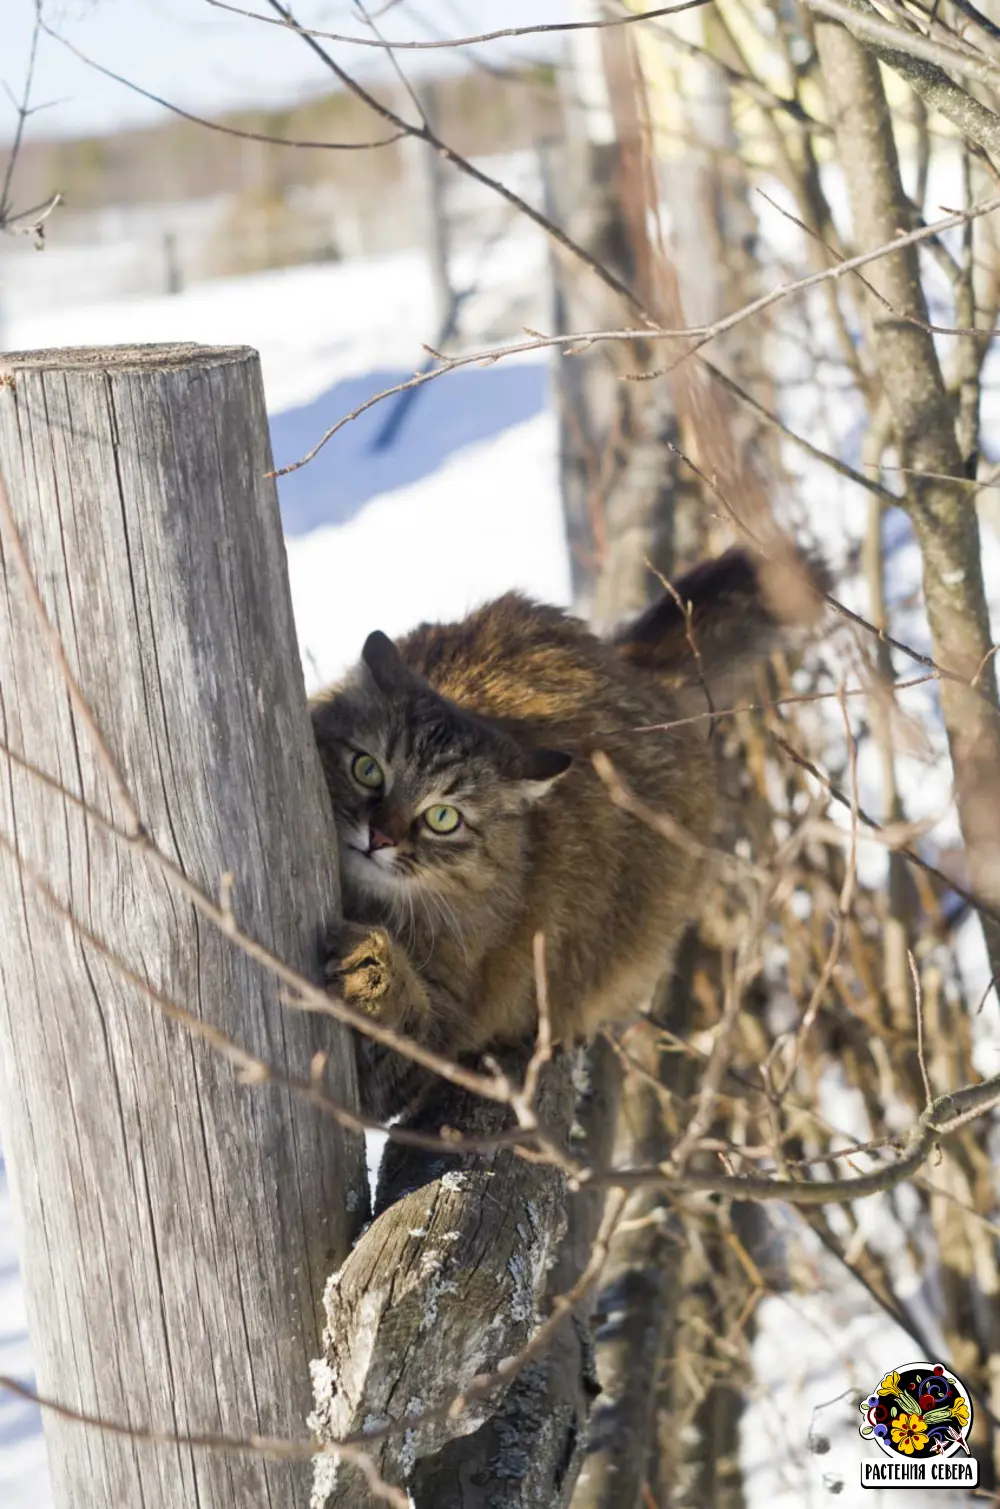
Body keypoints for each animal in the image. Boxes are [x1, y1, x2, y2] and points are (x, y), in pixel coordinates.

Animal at [315, 549, 826, 1116]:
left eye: (443, 818)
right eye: (367, 770)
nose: (379, 837)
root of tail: (628, 665)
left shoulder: (436, 1032)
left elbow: (404, 1024)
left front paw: (370, 968)